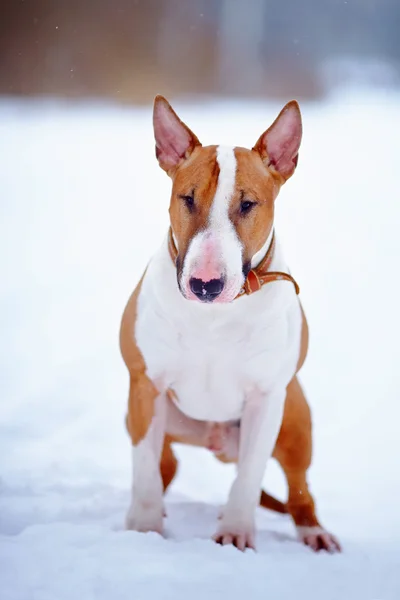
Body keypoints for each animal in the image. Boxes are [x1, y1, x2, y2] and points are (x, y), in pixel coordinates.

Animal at [119, 95, 340, 552]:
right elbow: (145, 467)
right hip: (144, 416)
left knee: (298, 488)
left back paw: (314, 531)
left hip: (295, 419)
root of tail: (215, 442)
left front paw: (236, 532)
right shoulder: (145, 386)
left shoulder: (266, 398)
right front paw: (144, 529)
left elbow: (250, 475)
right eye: (186, 198)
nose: (205, 285)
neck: (213, 318)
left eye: (247, 204)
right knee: (165, 464)